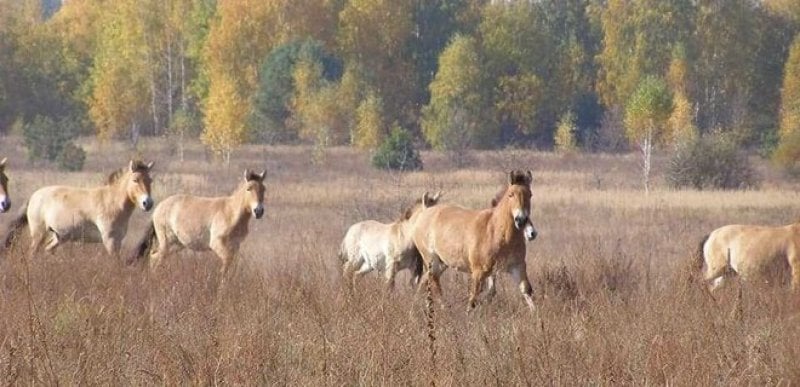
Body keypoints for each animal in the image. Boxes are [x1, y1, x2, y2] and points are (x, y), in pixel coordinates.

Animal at [2, 159, 155, 256]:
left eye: (150, 180)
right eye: (135, 180)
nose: (147, 203)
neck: (112, 202)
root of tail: (34, 196)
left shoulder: (118, 241)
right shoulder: (110, 241)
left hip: (58, 237)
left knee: (47, 249)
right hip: (39, 234)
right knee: (32, 253)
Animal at [134, 170, 266, 278]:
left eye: (264, 189)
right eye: (249, 188)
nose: (258, 211)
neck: (230, 212)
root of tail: (157, 208)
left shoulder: (235, 246)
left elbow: (231, 267)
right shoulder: (217, 244)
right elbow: (226, 266)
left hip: (176, 245)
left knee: (154, 257)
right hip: (167, 242)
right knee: (154, 259)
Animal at [412, 171, 536, 310]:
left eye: (530, 194)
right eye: (511, 194)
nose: (521, 220)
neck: (497, 232)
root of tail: (424, 213)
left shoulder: (517, 267)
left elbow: (526, 290)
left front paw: (537, 316)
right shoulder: (478, 272)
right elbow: (473, 299)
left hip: (442, 263)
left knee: (425, 282)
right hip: (431, 261)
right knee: (434, 283)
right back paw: (443, 309)